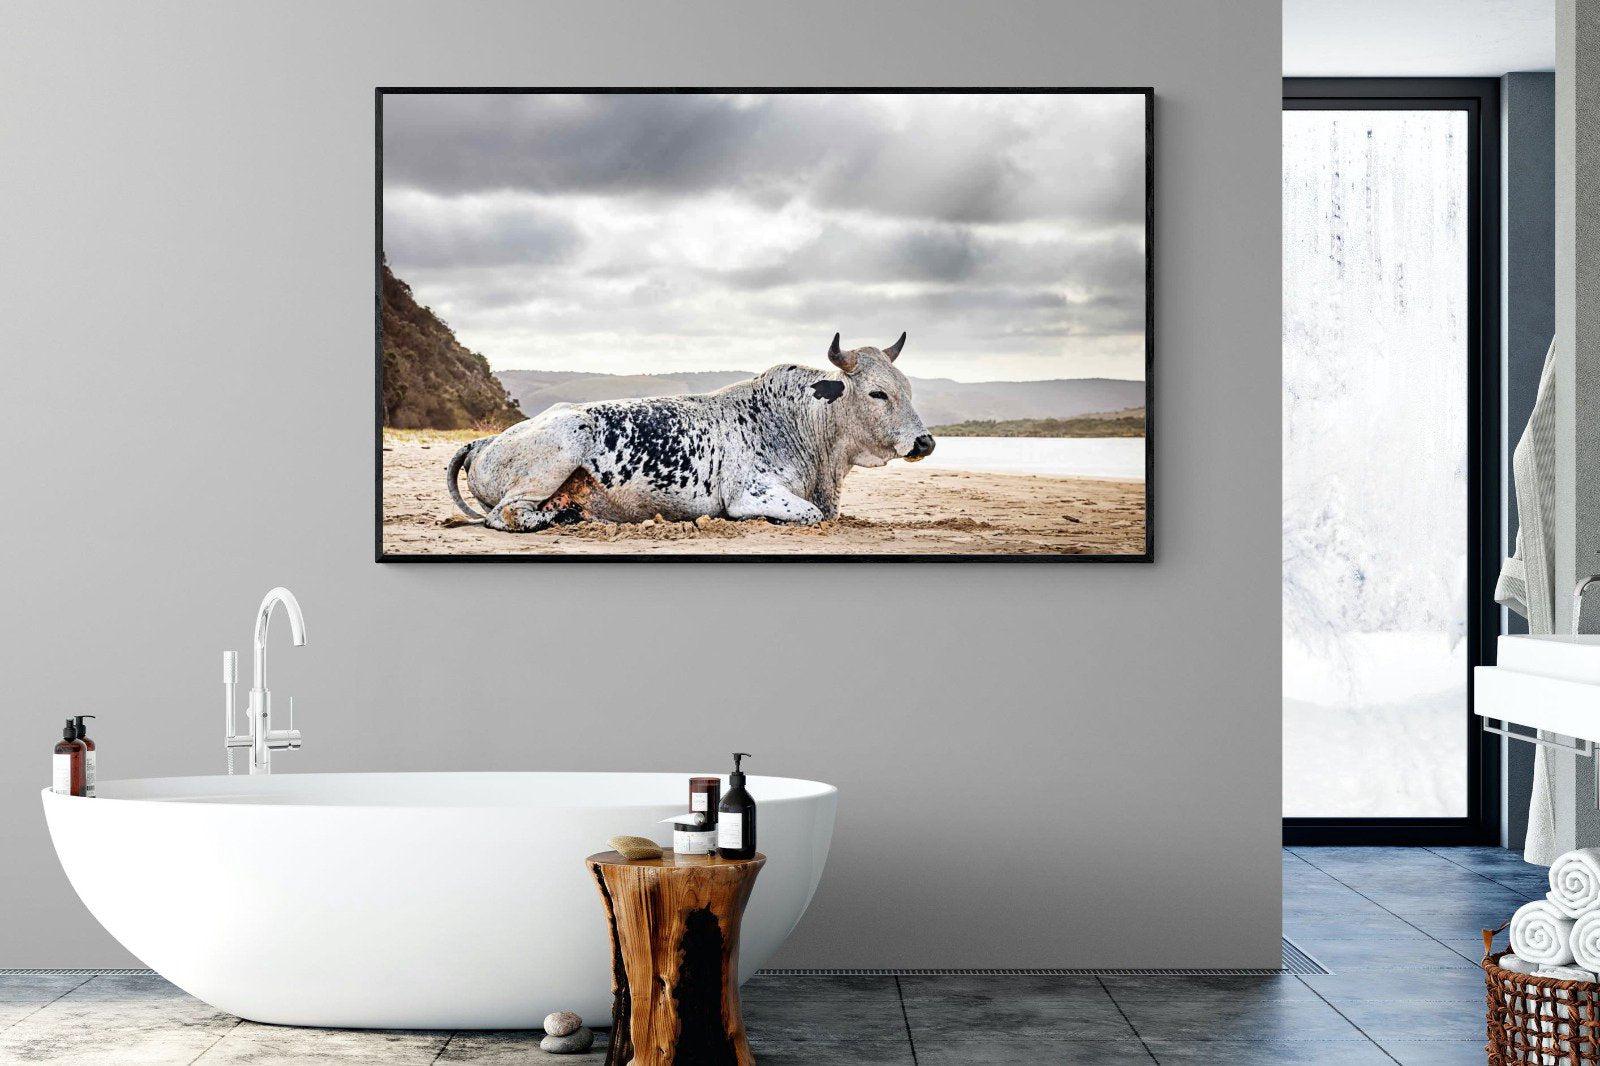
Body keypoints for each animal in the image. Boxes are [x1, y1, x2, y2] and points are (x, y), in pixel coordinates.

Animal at [446, 332, 934, 532]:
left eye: (908, 389)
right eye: (876, 393)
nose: (926, 441)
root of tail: (485, 441)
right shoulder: (750, 493)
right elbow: (811, 514)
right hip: (561, 450)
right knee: (505, 515)